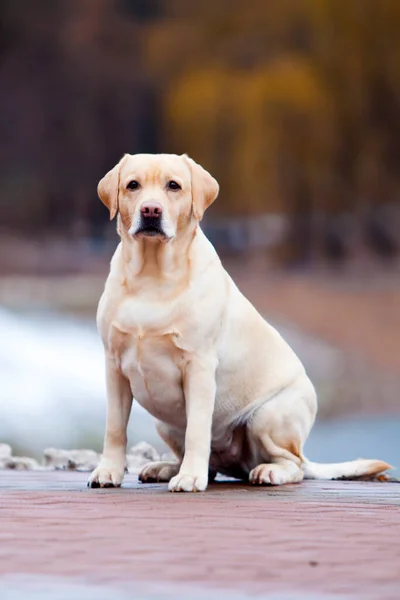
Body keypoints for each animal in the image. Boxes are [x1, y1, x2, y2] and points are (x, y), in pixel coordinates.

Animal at [88, 152, 390, 490]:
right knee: (210, 464)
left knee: (293, 464)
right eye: (133, 185)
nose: (150, 210)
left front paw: (189, 478)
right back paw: (166, 467)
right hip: (163, 422)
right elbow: (115, 428)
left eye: (173, 186)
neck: (151, 276)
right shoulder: (114, 366)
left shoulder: (199, 367)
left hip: (267, 416)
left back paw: (266, 472)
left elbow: (197, 430)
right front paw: (109, 471)